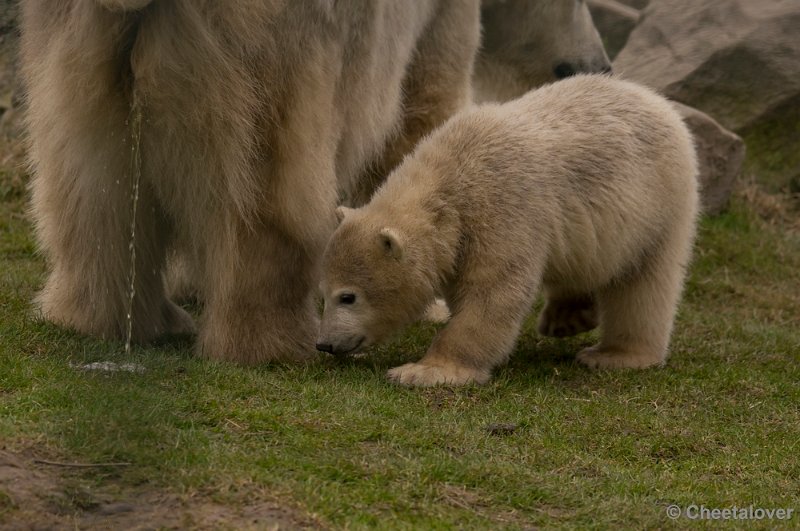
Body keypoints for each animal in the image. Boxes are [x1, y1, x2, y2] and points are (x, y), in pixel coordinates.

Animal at [20, 0, 482, 364]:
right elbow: (422, 112)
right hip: (265, 53)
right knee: (265, 204)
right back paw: (274, 343)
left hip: (80, 46)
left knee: (91, 191)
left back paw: (116, 319)